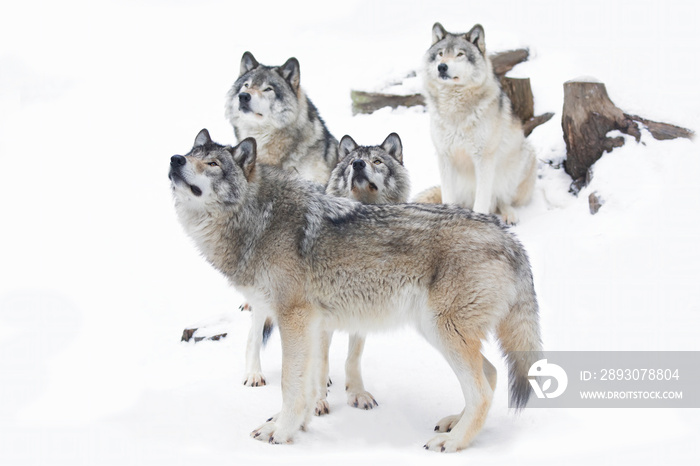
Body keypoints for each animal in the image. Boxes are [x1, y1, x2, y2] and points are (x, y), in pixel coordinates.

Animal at [168, 129, 540, 454]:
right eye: (190, 154)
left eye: (213, 163)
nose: (174, 159)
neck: (260, 217)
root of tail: (509, 238)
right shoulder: (313, 326)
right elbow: (311, 382)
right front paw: (298, 424)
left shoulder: (294, 319)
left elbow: (290, 382)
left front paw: (282, 432)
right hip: (437, 331)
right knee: (491, 374)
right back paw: (454, 423)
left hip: (443, 331)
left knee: (483, 392)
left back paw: (453, 442)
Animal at [422, 23, 536, 224]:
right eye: (441, 54)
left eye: (460, 54)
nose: (442, 67)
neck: (455, 110)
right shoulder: (444, 156)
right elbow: (448, 197)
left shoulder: (483, 158)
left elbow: (482, 201)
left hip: (524, 159)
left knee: (501, 199)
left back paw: (509, 214)